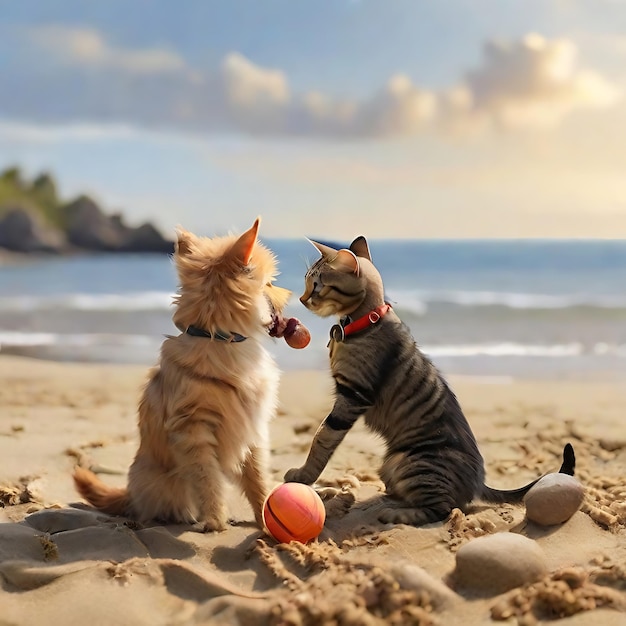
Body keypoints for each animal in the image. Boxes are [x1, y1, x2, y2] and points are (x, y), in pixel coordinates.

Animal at [73, 217, 308, 528]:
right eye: (269, 283)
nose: (292, 294)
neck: (219, 339)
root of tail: (131, 492)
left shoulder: (253, 430)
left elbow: (257, 479)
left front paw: (265, 516)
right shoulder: (193, 432)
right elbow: (208, 480)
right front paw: (215, 520)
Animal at [286, 236, 572, 524]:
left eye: (316, 286)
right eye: (307, 283)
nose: (301, 298)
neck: (364, 321)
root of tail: (479, 483)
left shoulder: (352, 396)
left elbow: (321, 438)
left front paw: (302, 476)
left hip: (412, 462)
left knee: (441, 510)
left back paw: (392, 512)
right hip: (394, 464)